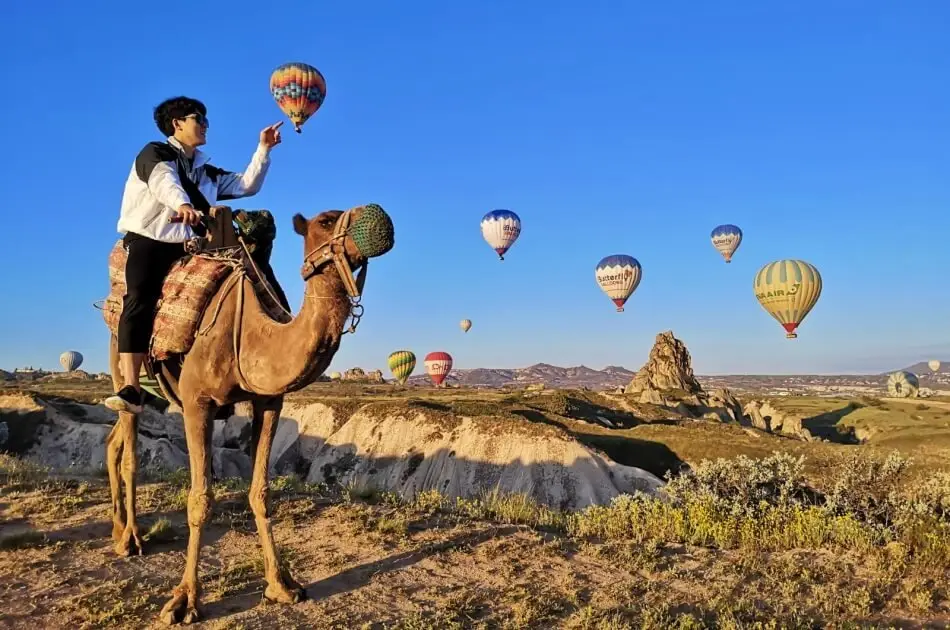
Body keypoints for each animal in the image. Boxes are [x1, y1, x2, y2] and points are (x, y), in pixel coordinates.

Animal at [107, 205, 394, 624]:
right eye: (326, 221)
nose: (379, 216)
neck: (254, 335)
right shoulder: (197, 401)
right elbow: (200, 500)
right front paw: (185, 601)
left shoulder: (270, 401)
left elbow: (261, 492)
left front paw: (281, 585)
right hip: (122, 355)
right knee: (129, 446)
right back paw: (131, 537)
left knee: (112, 441)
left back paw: (117, 529)